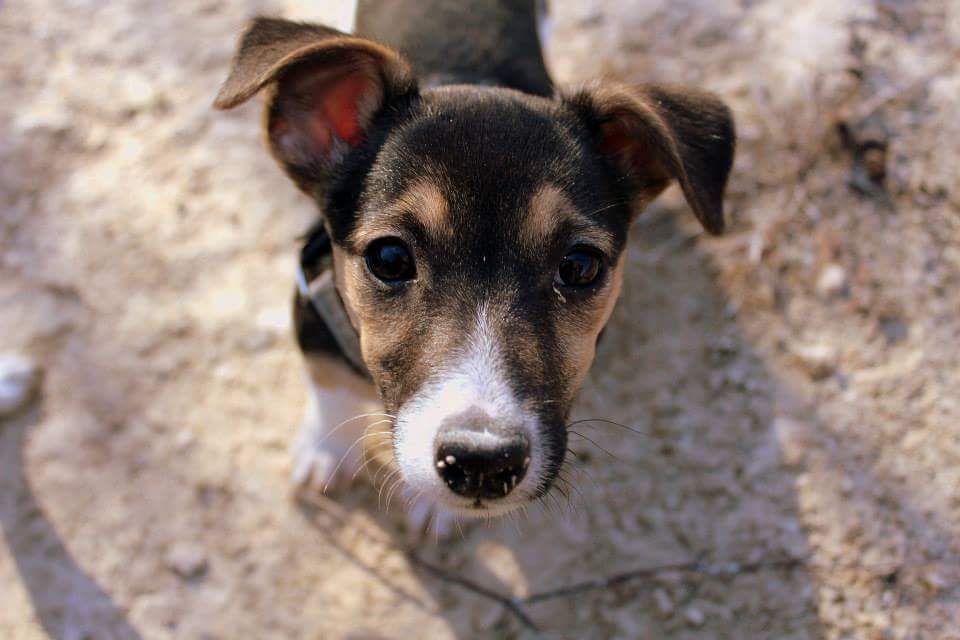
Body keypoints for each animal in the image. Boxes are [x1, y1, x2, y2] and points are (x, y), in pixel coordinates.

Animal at [216, 0, 736, 528]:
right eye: (389, 258)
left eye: (580, 267)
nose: (482, 463)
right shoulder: (314, 306)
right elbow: (328, 380)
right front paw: (326, 450)